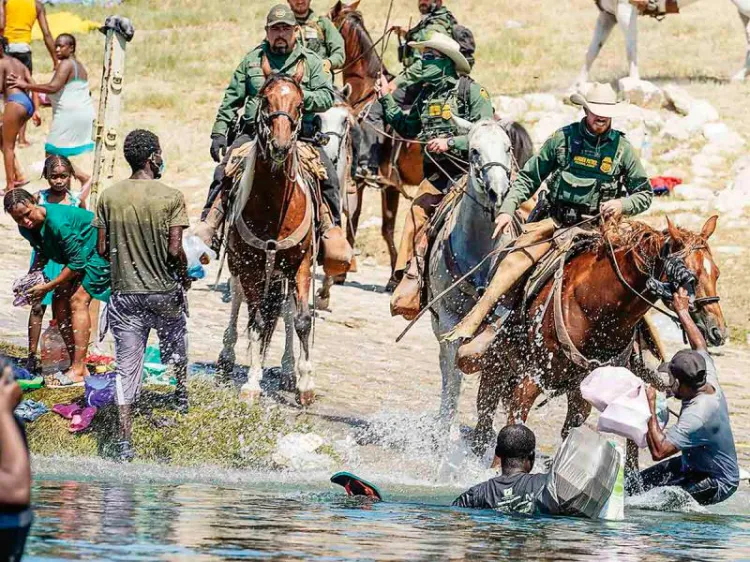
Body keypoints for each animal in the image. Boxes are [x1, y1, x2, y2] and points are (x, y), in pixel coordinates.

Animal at [220, 59, 318, 404]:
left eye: (300, 104)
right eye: (265, 101)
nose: (280, 146)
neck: (275, 209)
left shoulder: (301, 264)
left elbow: (301, 320)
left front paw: (306, 383)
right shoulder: (250, 268)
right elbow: (258, 321)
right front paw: (252, 382)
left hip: (281, 273)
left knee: (286, 312)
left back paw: (288, 370)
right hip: (241, 267)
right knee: (239, 301)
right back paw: (228, 356)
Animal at [470, 213, 728, 450]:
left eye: (716, 273)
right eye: (690, 277)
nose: (718, 331)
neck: (595, 307)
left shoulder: (580, 391)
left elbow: (569, 435)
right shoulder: (531, 380)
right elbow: (513, 428)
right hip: (496, 363)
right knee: (484, 416)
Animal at [576, 0, 750, 85]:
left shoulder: (626, 11)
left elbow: (631, 51)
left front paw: (634, 84)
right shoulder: (608, 14)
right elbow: (591, 52)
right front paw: (577, 87)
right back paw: (740, 77)